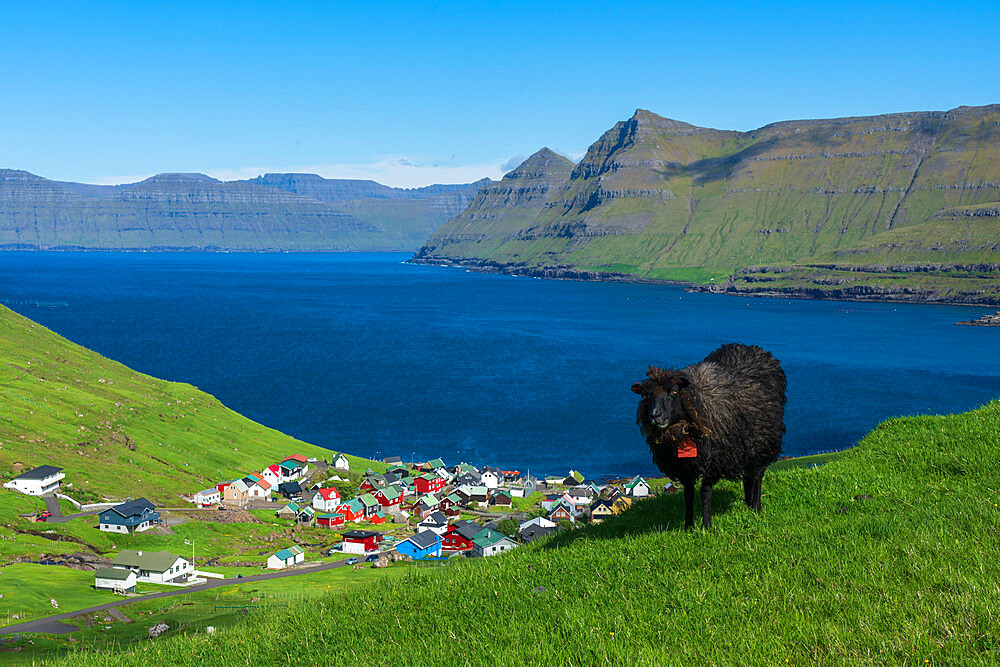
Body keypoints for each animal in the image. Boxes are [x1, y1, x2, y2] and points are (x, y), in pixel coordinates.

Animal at [632, 344, 788, 528]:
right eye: (645, 395)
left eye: (674, 391)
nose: (655, 415)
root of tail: (754, 348)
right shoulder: (684, 466)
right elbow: (688, 494)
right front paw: (689, 526)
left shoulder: (712, 460)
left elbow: (705, 492)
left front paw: (706, 526)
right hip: (746, 445)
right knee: (748, 475)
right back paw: (748, 502)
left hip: (763, 441)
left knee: (757, 474)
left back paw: (756, 506)